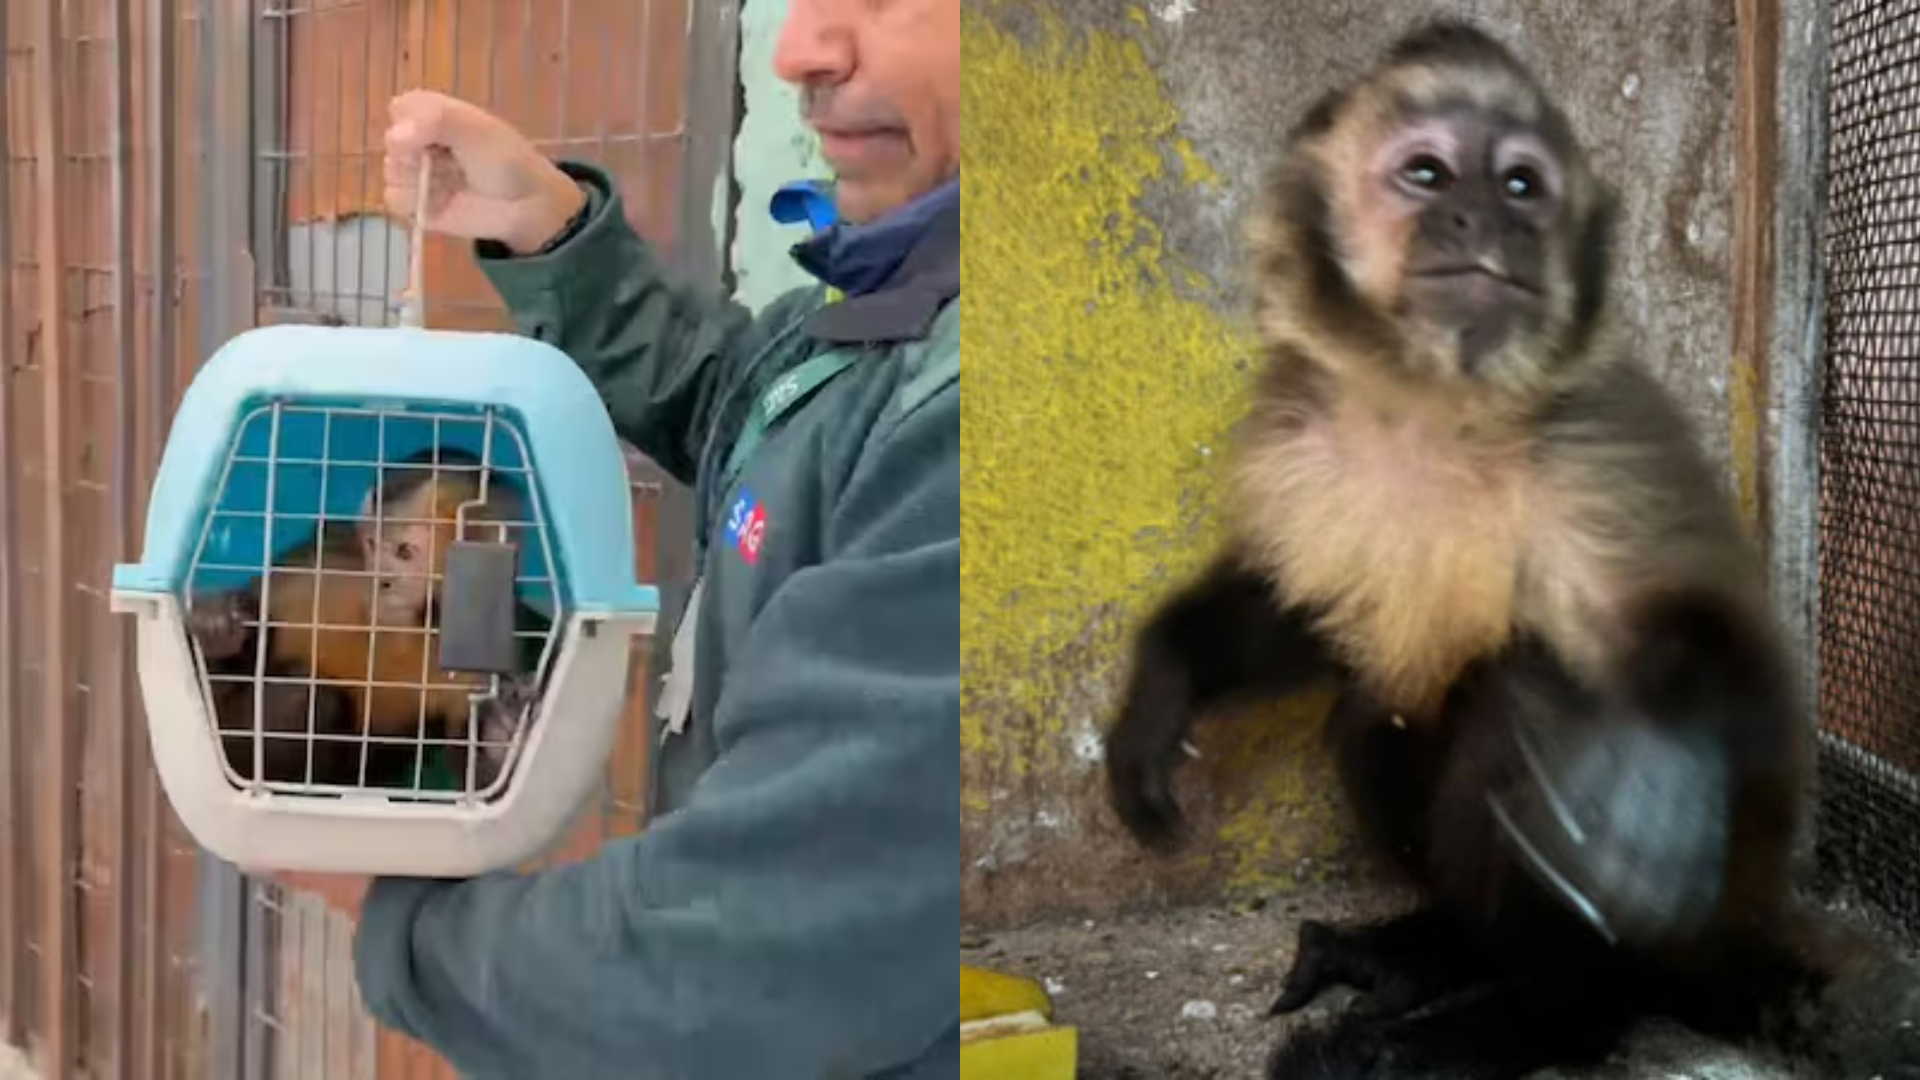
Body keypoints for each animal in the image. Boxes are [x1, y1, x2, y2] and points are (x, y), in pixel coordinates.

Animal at [1100, 20, 1920, 1079]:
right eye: (1428, 173)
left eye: (1522, 185)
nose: (1488, 222)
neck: (1435, 406)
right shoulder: (1299, 433)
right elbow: (1302, 606)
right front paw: (1164, 687)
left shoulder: (1597, 447)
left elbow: (1726, 645)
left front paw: (1658, 775)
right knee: (1377, 711)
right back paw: (1439, 951)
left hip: (1691, 919)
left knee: (1521, 701)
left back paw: (1536, 1020)